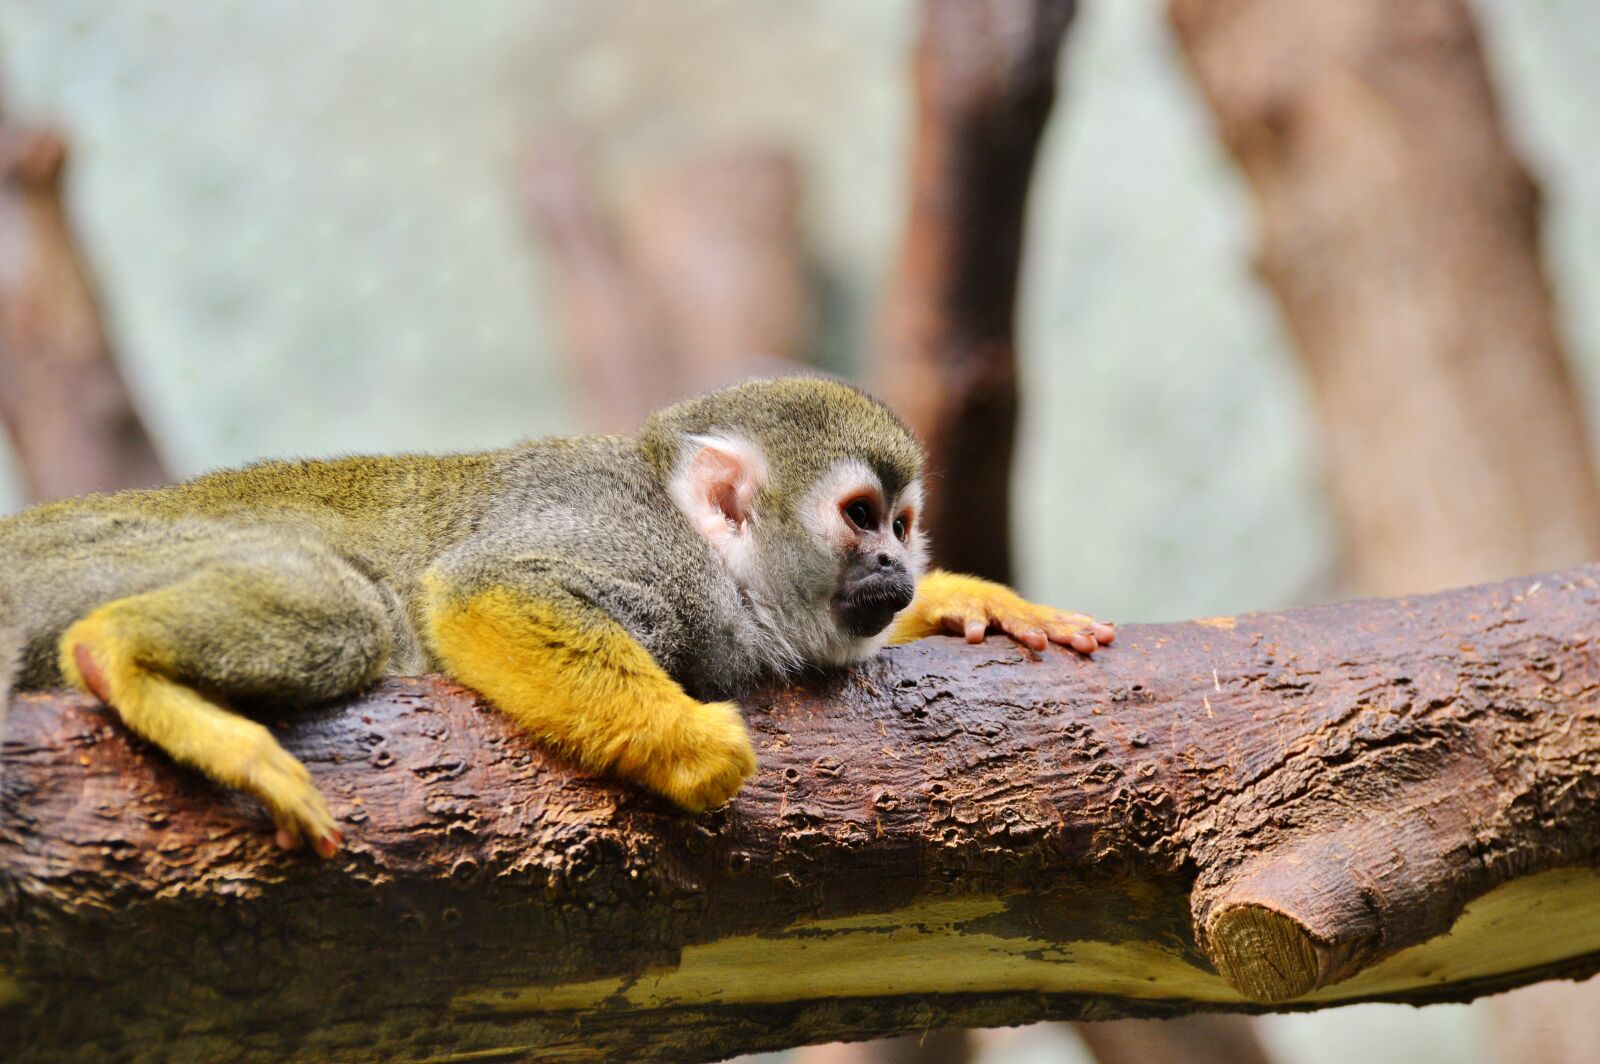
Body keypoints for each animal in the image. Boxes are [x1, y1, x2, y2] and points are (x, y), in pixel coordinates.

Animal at [0, 377, 1113, 857]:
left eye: (905, 526)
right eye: (859, 517)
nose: (893, 565)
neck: (718, 562)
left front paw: (973, 601)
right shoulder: (633, 543)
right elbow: (490, 587)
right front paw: (695, 749)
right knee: (350, 608)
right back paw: (120, 657)